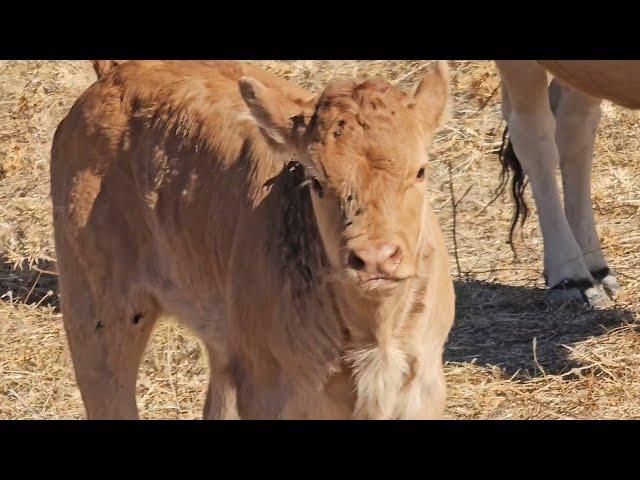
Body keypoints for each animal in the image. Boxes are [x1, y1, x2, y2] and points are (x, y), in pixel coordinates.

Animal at [51, 61, 456, 420]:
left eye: (421, 171)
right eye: (317, 181)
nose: (375, 258)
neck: (374, 334)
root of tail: (121, 71)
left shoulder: (423, 386)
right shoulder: (271, 393)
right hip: (96, 310)